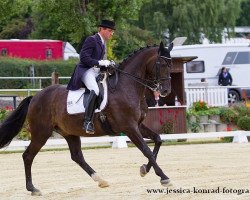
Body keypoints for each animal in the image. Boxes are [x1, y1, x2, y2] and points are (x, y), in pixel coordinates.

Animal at [0, 41, 172, 195]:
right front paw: (164, 177)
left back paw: (100, 180)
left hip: (69, 132)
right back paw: (32, 188)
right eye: (161, 64)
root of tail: (35, 97)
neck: (127, 87)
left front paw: (144, 169)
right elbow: (146, 150)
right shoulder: (129, 127)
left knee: (77, 156)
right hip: (41, 132)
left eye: (171, 64)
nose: (165, 91)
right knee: (28, 156)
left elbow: (157, 140)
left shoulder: (138, 125)